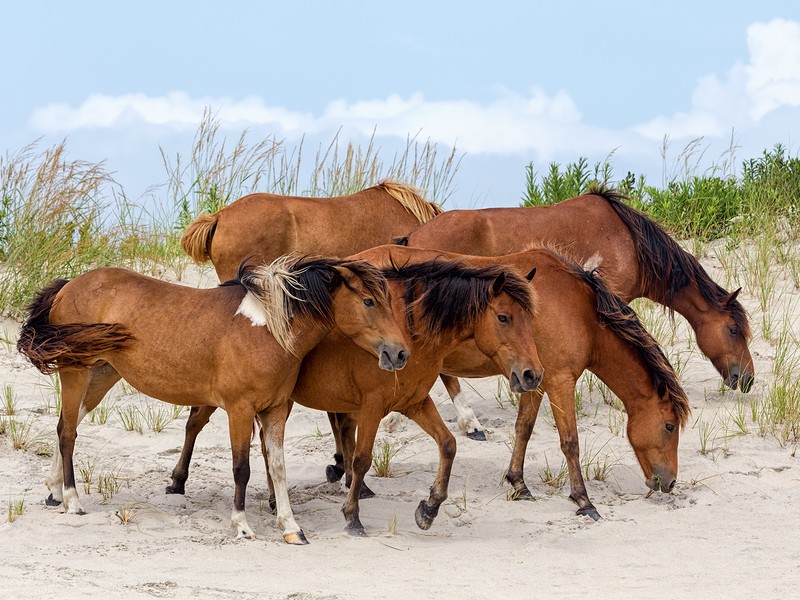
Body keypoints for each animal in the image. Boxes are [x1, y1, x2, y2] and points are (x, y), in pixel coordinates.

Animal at [17, 255, 412, 548]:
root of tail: (68, 285)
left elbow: (278, 468)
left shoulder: (276, 410)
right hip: (76, 371)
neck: (268, 330)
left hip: (102, 374)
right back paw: (72, 501)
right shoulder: (239, 409)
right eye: (368, 301)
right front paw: (242, 526)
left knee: (65, 426)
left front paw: (291, 528)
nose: (399, 353)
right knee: (68, 433)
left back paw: (53, 492)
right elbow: (242, 469)